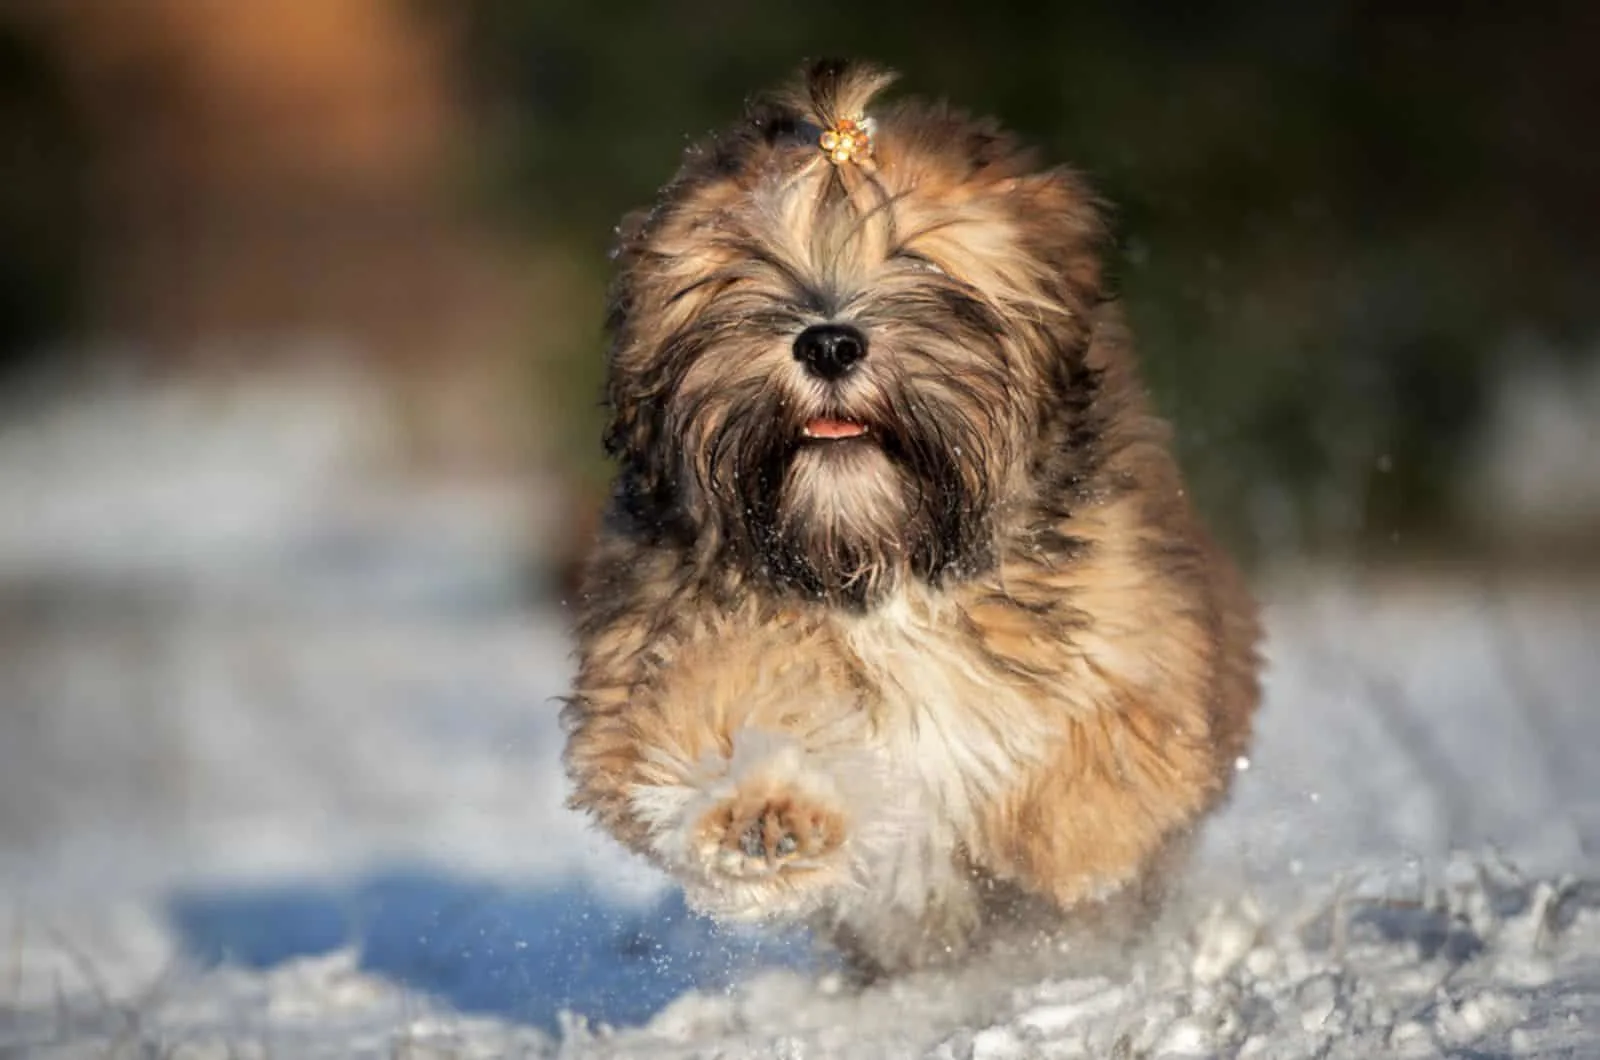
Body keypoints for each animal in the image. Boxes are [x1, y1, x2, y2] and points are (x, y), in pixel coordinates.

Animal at [563, 62, 1260, 986]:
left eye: (917, 258)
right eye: (750, 267)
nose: (828, 343)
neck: (880, 556)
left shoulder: (1134, 612)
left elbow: (1113, 725)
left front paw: (1080, 834)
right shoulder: (669, 640)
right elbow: (707, 705)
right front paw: (761, 815)